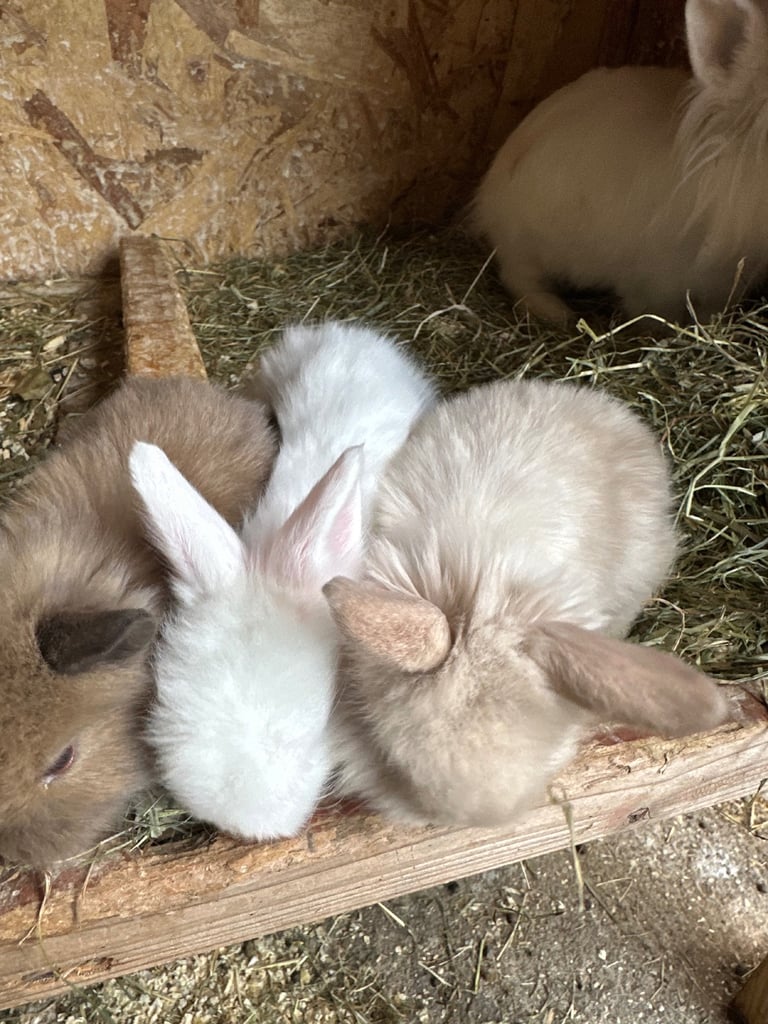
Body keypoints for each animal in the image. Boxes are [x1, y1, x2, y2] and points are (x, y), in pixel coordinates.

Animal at [472, 0, 768, 324]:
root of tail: (486, 201)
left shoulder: (724, 287)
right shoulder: (655, 285)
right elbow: (652, 314)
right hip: (525, 244)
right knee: (517, 276)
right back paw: (557, 312)